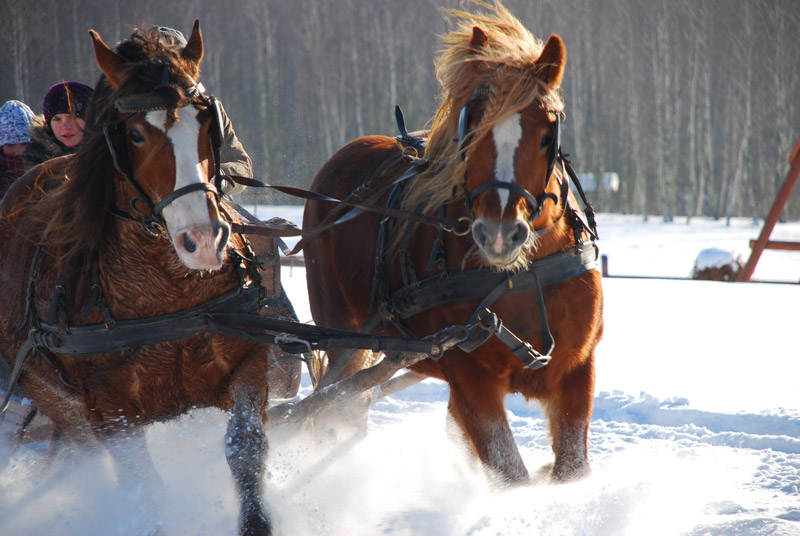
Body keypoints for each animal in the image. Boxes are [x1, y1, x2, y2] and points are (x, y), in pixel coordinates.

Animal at [0, 22, 282, 536]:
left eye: (207, 122)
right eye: (133, 133)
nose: (202, 239)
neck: (170, 291)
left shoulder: (248, 360)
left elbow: (246, 449)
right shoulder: (111, 408)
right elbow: (143, 484)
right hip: (53, 396)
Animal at [304, 2, 604, 484]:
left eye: (546, 135)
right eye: (470, 129)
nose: (498, 233)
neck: (521, 277)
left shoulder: (578, 367)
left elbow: (572, 467)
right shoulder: (470, 377)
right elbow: (508, 470)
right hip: (344, 335)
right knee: (335, 403)